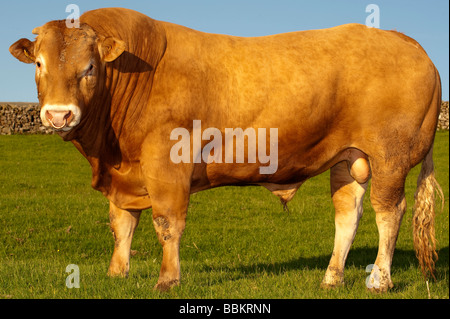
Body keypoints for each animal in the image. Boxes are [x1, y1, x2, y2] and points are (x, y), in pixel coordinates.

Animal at [9, 6, 442, 292]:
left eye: (89, 68)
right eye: (39, 64)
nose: (59, 114)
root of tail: (407, 42)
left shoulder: (167, 163)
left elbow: (167, 222)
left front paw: (168, 279)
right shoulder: (125, 174)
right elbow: (122, 223)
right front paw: (118, 273)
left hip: (390, 156)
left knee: (389, 212)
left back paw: (379, 279)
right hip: (350, 157)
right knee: (348, 214)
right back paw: (331, 278)